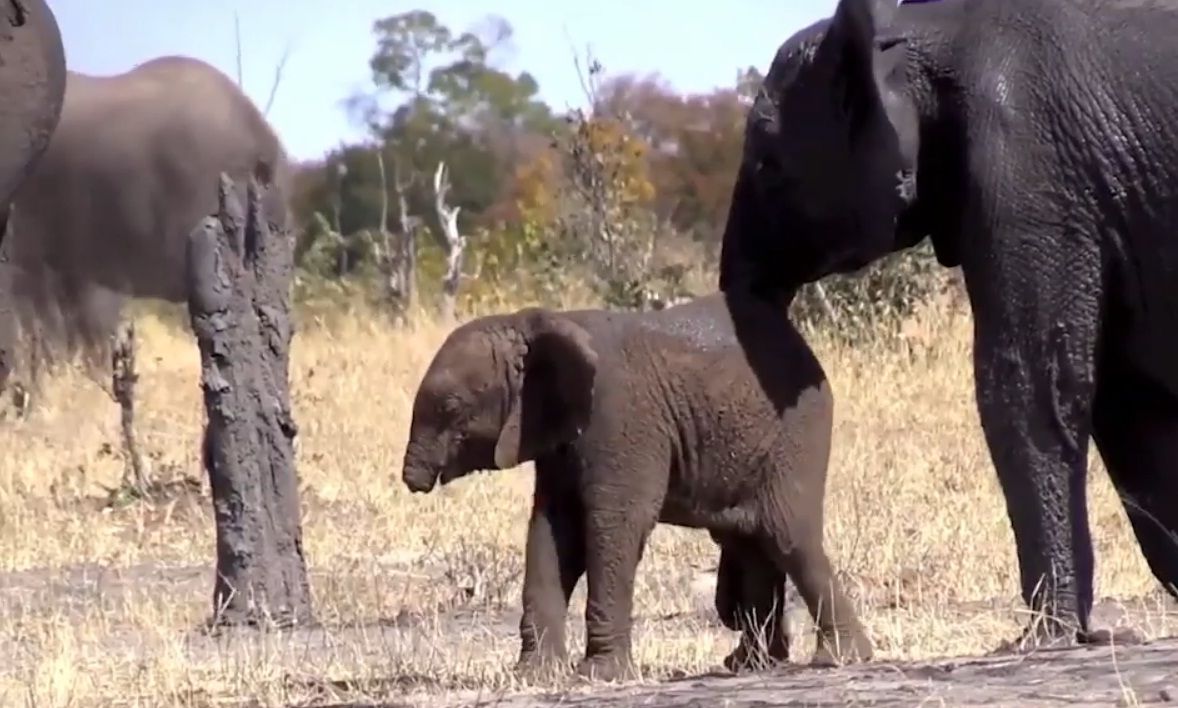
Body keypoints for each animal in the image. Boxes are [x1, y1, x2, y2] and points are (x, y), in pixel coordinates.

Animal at [400, 289, 871, 683]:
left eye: (451, 407)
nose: (412, 480)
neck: (532, 325)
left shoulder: (618, 416)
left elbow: (614, 524)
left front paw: (598, 677)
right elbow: (552, 532)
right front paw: (534, 677)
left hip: (796, 432)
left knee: (788, 535)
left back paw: (840, 659)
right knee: (751, 540)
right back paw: (750, 665)